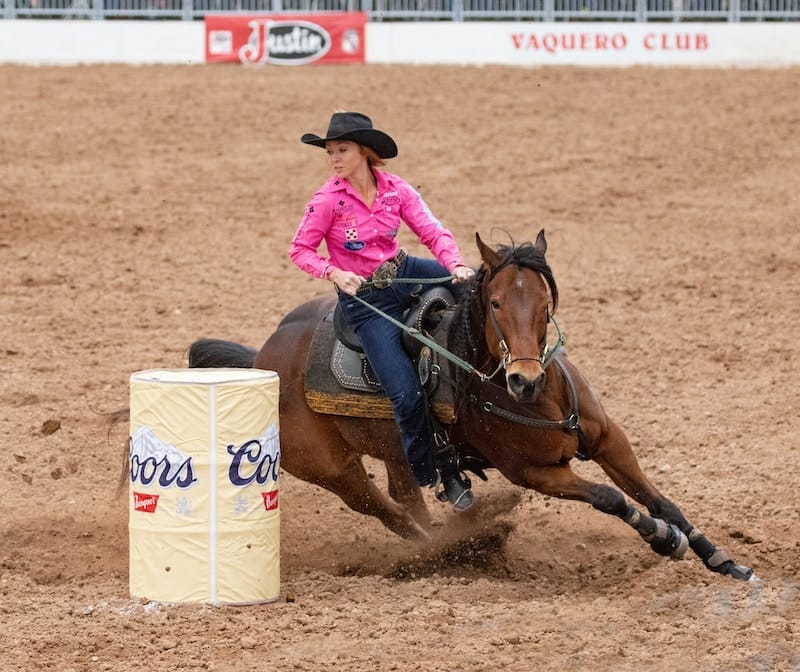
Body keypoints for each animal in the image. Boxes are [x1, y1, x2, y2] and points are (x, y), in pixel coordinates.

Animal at [184, 228, 752, 580]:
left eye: (545, 302)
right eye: (496, 303)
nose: (524, 379)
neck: (542, 400)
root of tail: (264, 355)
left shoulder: (610, 438)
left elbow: (660, 499)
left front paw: (724, 560)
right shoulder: (535, 473)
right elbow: (614, 500)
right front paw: (663, 540)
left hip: (397, 449)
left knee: (406, 495)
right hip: (334, 470)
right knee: (390, 512)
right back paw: (445, 552)